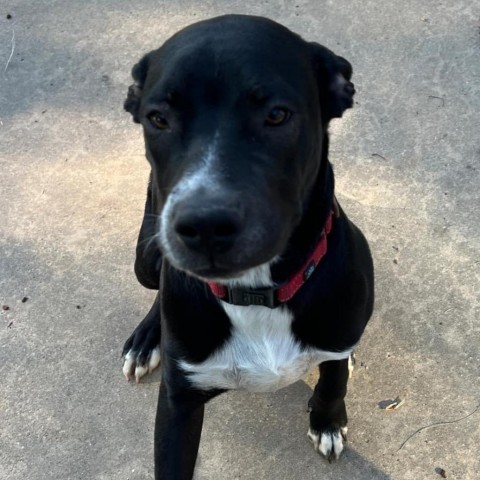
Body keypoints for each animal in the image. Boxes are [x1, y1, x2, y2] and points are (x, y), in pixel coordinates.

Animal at [122, 15, 374, 480]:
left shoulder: (338, 333)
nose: (204, 225)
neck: (257, 293)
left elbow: (334, 380)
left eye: (276, 114)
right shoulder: (178, 406)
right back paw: (147, 339)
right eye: (158, 119)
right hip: (146, 257)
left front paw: (327, 420)